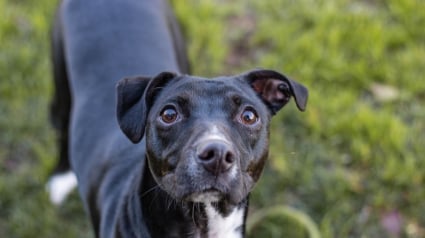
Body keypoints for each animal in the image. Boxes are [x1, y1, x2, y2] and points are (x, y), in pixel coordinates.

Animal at [47, 0, 308, 237]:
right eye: (169, 114)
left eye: (249, 115)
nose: (217, 155)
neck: (204, 222)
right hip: (61, 85)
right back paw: (61, 178)